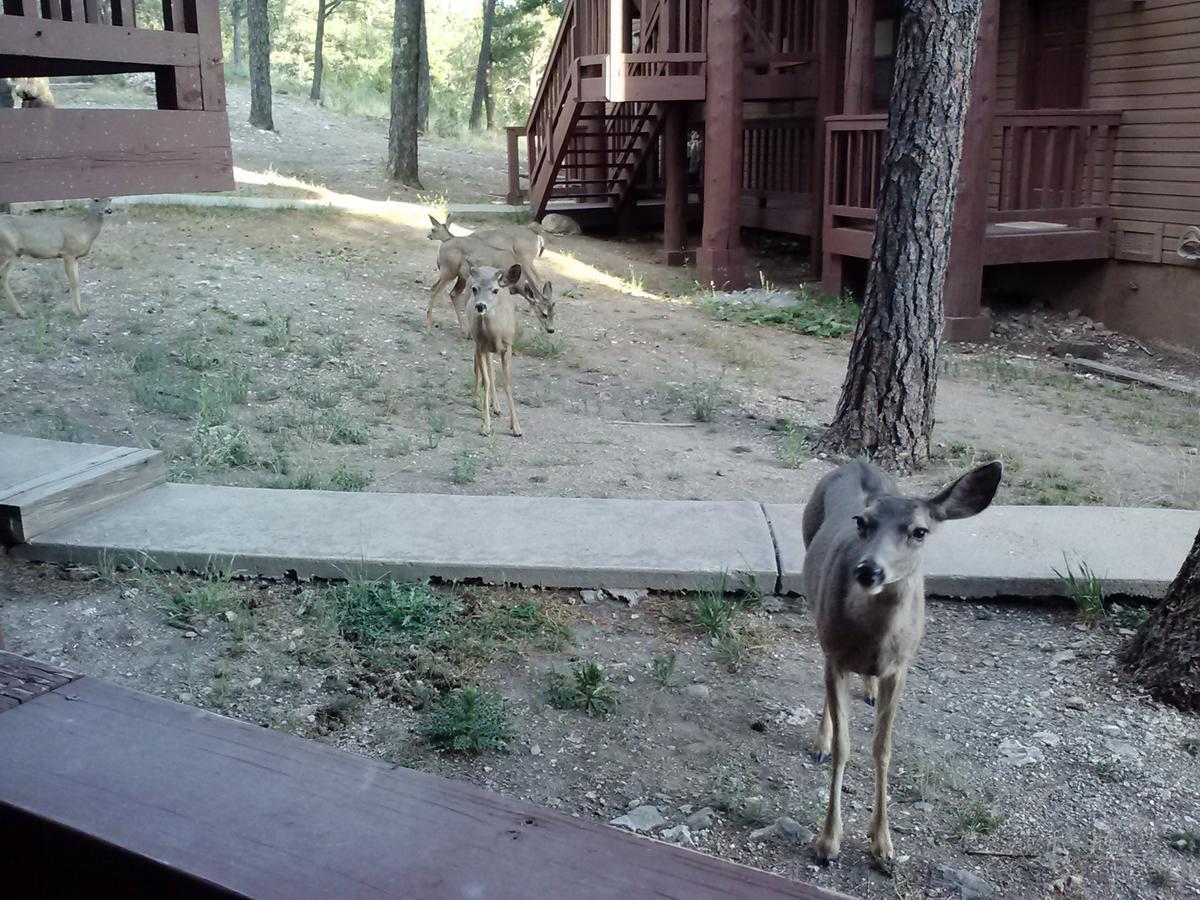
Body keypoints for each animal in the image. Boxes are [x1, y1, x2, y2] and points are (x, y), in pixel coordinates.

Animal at [465, 262, 554, 439]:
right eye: (474, 288)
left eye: (495, 290)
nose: (480, 306)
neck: (495, 334)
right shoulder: (480, 345)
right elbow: (486, 379)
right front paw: (485, 426)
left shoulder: (508, 346)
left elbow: (507, 383)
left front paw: (516, 428)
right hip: (477, 342)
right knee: (480, 369)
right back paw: (477, 400)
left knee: (491, 370)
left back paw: (496, 406)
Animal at [801, 460, 1008, 864]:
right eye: (862, 522)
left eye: (920, 531)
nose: (868, 570)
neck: (874, 641)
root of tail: (857, 462)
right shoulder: (835, 655)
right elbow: (846, 746)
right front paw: (829, 841)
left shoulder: (900, 668)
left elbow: (883, 749)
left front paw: (882, 841)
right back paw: (822, 741)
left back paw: (867, 690)